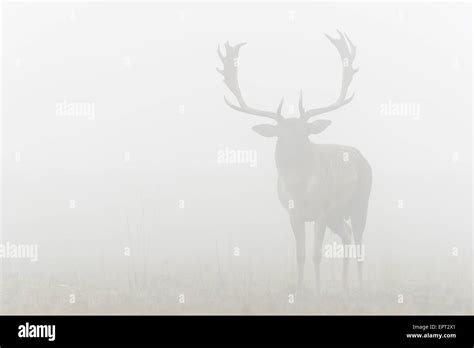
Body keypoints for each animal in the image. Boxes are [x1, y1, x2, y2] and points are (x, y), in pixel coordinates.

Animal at [217, 32, 372, 296]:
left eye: (305, 132)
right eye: (281, 134)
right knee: (347, 234)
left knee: (360, 242)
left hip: (360, 202)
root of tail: (363, 158)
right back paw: (343, 286)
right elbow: (300, 255)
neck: (300, 191)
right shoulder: (293, 214)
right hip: (337, 215)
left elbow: (316, 254)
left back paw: (360, 286)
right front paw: (299, 289)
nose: (295, 151)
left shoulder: (320, 212)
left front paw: (318, 291)